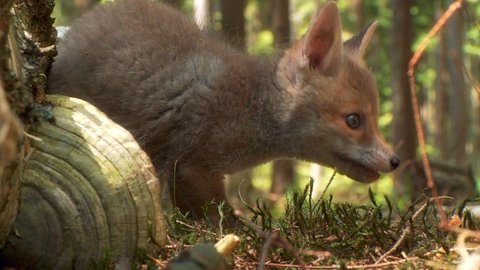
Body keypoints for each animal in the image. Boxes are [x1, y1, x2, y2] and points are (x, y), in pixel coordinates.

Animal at [48, 0, 402, 217]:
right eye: (354, 120)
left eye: (373, 119)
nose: (395, 160)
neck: (248, 107)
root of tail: (72, 30)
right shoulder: (190, 166)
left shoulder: (190, 171)